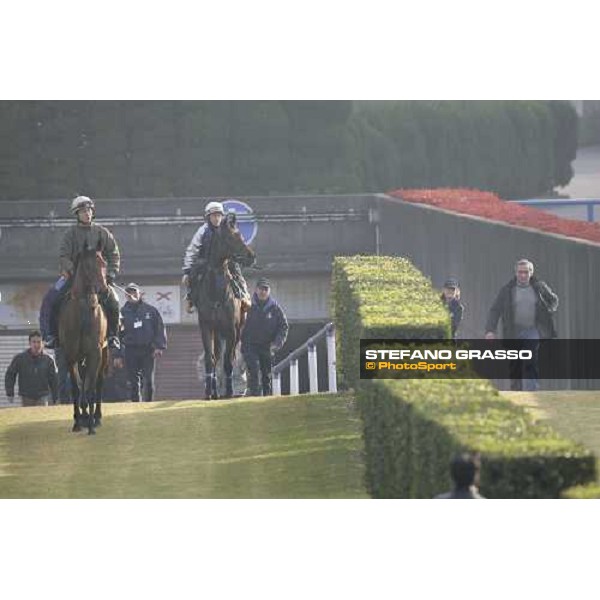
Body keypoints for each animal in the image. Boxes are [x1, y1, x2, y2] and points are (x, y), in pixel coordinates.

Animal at [59, 241, 110, 434]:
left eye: (104, 263)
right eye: (87, 266)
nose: (103, 290)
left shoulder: (95, 352)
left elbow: (91, 387)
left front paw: (91, 426)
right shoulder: (70, 354)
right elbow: (76, 387)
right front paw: (77, 422)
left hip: (105, 353)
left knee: (98, 382)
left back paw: (96, 416)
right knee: (82, 384)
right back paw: (82, 414)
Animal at [191, 213, 256, 400]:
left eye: (241, 235)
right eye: (230, 237)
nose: (251, 256)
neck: (216, 293)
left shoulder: (231, 329)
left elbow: (228, 361)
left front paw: (229, 391)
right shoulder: (207, 326)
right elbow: (210, 358)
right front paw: (208, 392)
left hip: (236, 330)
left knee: (228, 356)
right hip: (217, 332)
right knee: (217, 356)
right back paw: (214, 390)